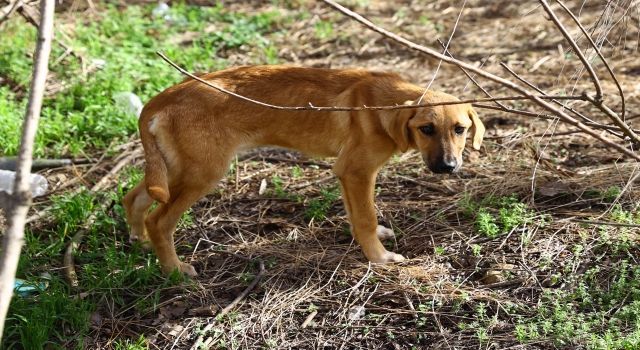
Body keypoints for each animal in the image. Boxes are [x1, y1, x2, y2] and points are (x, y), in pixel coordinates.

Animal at [124, 64, 484, 274]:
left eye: (460, 129)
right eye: (426, 129)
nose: (448, 168)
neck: (382, 104)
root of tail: (157, 102)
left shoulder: (346, 173)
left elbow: (357, 215)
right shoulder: (356, 171)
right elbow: (365, 217)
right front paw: (379, 258)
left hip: (174, 169)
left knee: (133, 198)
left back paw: (140, 242)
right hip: (203, 172)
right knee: (159, 221)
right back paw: (175, 271)